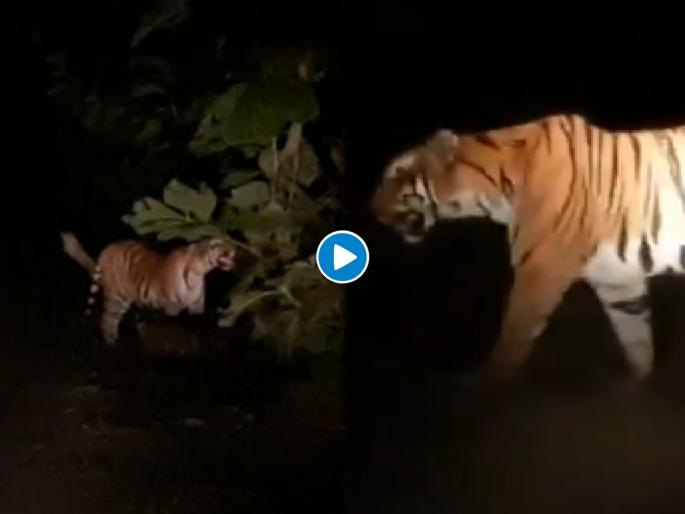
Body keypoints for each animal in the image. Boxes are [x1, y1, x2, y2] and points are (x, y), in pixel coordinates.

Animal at [60, 232, 236, 345]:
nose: (234, 249)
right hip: (118, 298)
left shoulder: (196, 308)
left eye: (229, 241)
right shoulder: (172, 308)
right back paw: (112, 342)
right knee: (108, 319)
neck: (198, 273)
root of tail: (107, 248)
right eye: (217, 244)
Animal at [371, 112, 685, 386]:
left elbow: (510, 344)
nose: (370, 208)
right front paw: (637, 394)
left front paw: (484, 394)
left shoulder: (538, 271)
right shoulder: (619, 282)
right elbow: (638, 344)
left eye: (396, 173)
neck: (493, 192)